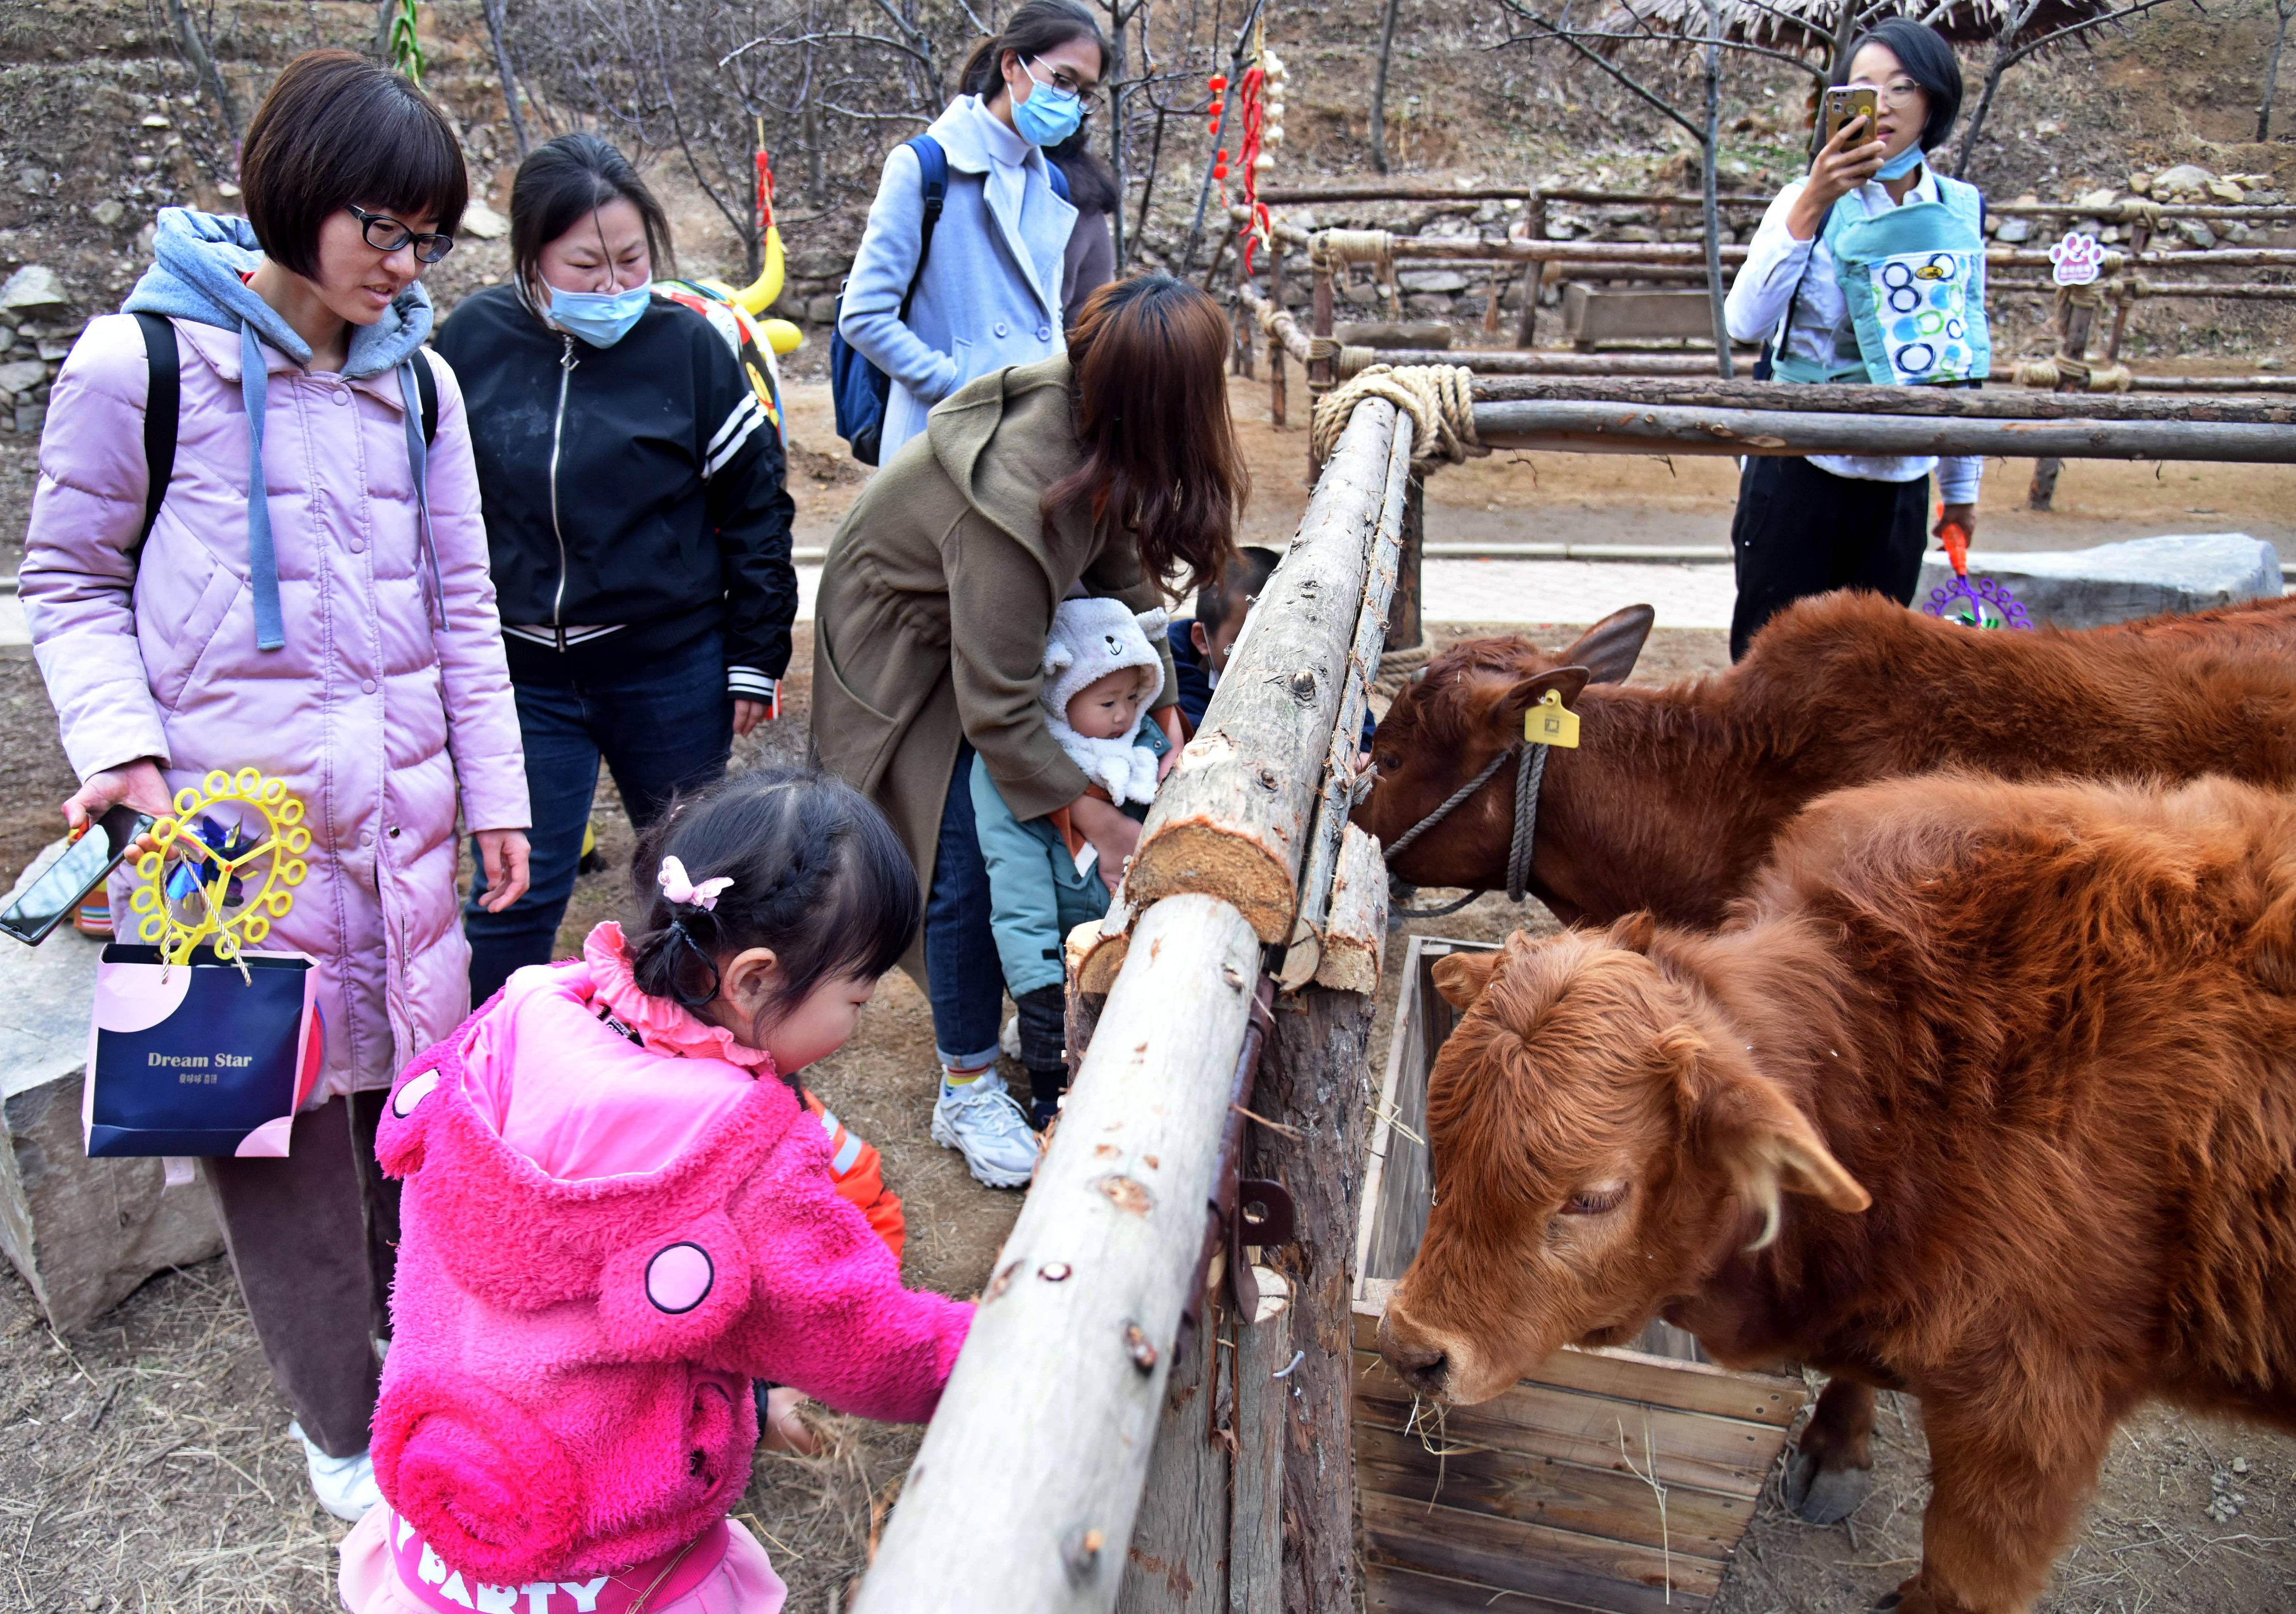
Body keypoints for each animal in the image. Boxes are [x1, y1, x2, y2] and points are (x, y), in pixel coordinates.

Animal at [1368, 771, 2296, 1614]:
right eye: (1441, 1143)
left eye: (1593, 1196)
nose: (1411, 1348)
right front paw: (1837, 1446)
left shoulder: (2027, 1417)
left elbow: (1961, 1578)